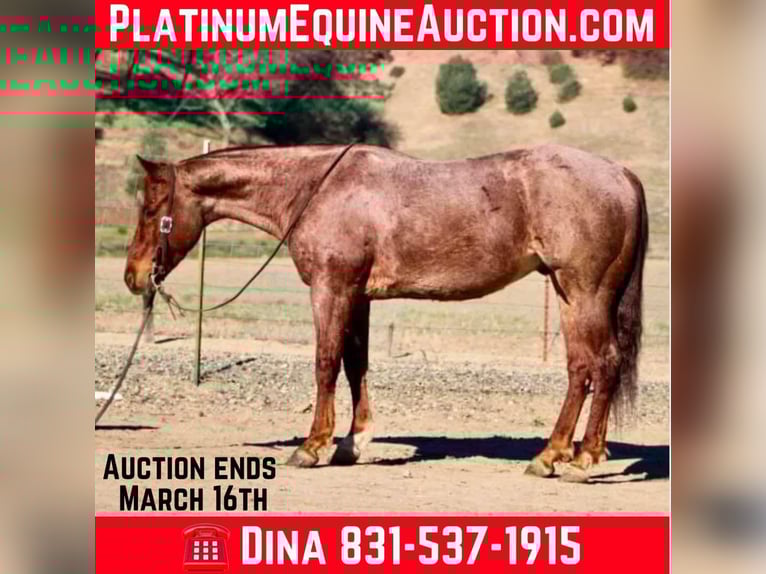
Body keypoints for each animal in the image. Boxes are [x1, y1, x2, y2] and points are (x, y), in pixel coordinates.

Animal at [124, 143, 648, 482]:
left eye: (150, 210)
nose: (133, 276)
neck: (317, 188)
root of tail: (622, 174)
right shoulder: (358, 297)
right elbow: (355, 365)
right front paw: (352, 444)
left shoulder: (332, 289)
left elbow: (325, 363)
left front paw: (312, 447)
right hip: (567, 293)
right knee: (582, 368)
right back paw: (555, 454)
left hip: (585, 291)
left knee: (602, 364)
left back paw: (580, 460)